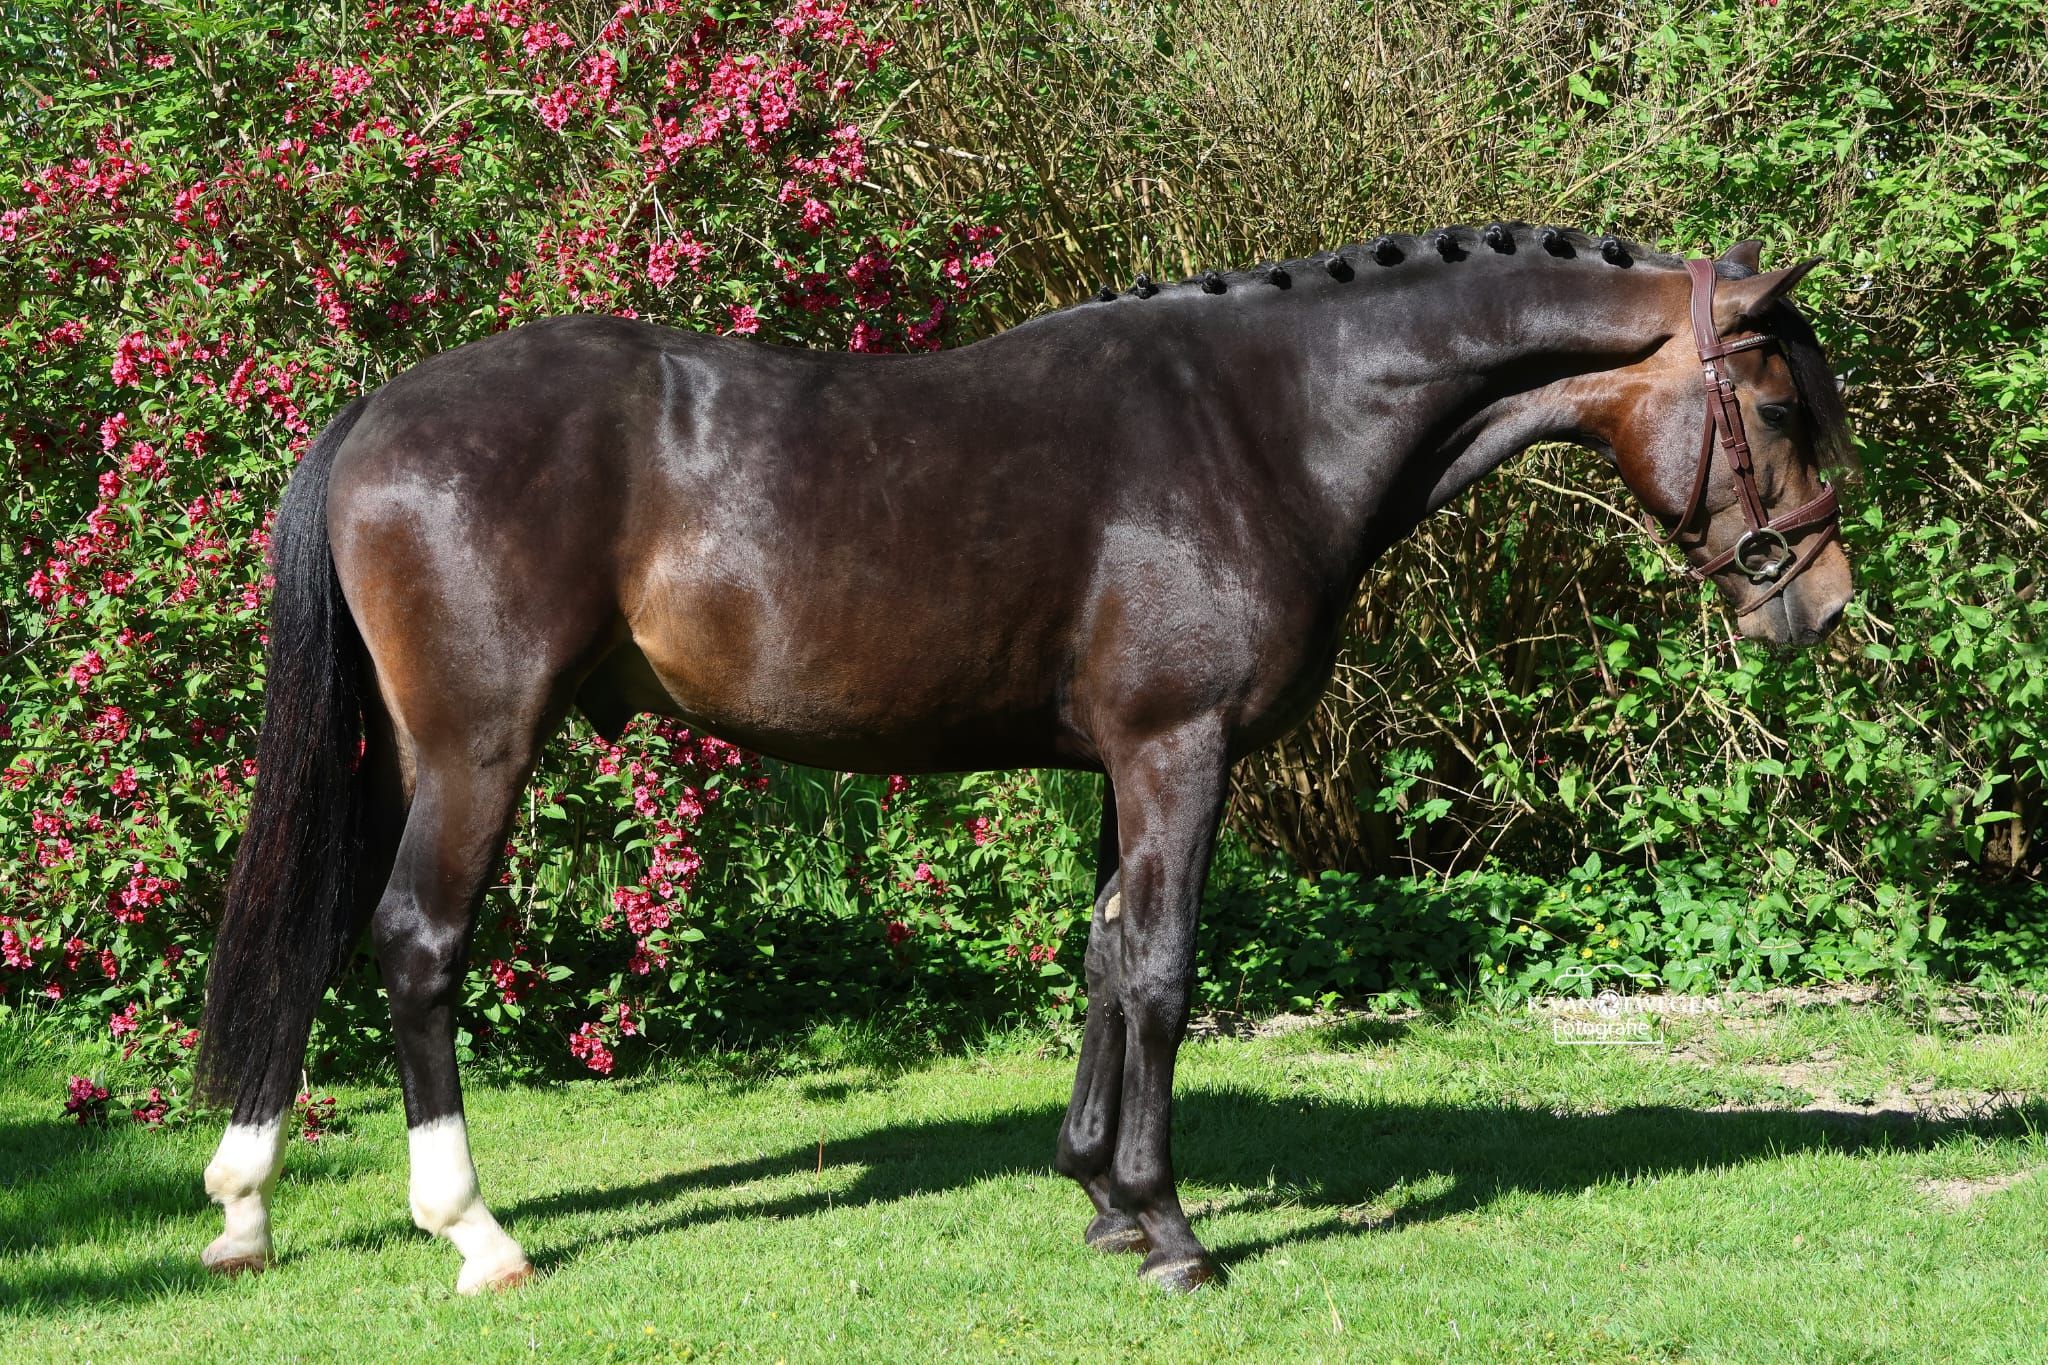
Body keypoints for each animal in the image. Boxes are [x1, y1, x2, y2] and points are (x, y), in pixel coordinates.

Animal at [193, 225, 1855, 1294]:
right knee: (417, 943)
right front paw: (1169, 1232)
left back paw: (245, 1207)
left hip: (400, 754)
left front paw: (1099, 1197)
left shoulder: (1125, 761)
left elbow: (1107, 954)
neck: (1265, 421)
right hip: (478, 749)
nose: (1822, 604)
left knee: (321, 925)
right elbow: (1165, 969)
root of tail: (376, 412)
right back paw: (472, 1231)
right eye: (1777, 403)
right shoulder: (1182, 749)